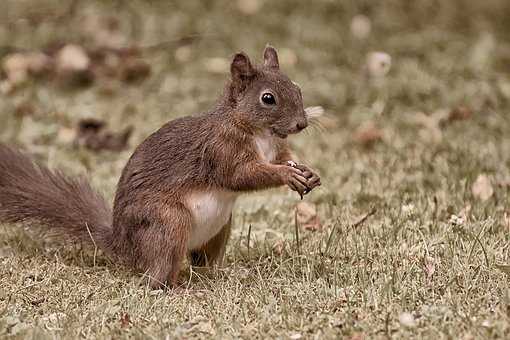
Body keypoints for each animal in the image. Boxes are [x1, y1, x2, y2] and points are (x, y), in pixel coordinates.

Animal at [0, 45, 318, 290]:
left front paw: (308, 172)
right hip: (168, 222)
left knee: (201, 263)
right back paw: (177, 288)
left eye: (298, 88)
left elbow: (282, 158)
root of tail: (125, 247)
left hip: (220, 228)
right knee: (157, 275)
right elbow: (240, 176)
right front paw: (286, 175)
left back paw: (220, 274)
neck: (260, 133)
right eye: (268, 98)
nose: (301, 124)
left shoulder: (275, 149)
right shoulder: (220, 150)